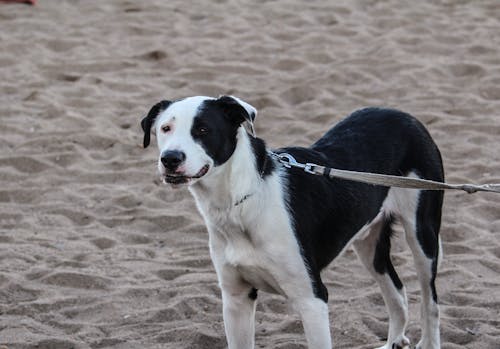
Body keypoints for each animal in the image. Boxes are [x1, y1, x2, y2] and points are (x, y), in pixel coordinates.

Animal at [142, 94, 446, 346]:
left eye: (203, 130)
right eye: (165, 129)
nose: (170, 159)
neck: (241, 202)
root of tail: (404, 116)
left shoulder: (312, 300)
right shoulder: (236, 299)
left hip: (422, 235)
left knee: (429, 303)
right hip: (369, 244)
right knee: (397, 294)